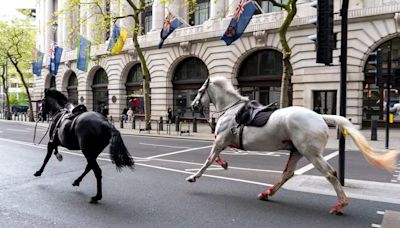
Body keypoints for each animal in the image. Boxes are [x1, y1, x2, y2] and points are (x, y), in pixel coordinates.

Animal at [186, 77, 398, 215]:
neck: (232, 110)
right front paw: (223, 164)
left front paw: (194, 177)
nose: (193, 105)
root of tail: (320, 117)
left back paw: (341, 205)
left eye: (199, 91)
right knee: (287, 173)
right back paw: (267, 193)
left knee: (330, 173)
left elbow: (208, 159)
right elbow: (215, 157)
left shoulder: (220, 140)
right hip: (297, 151)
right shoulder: (224, 142)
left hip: (311, 153)